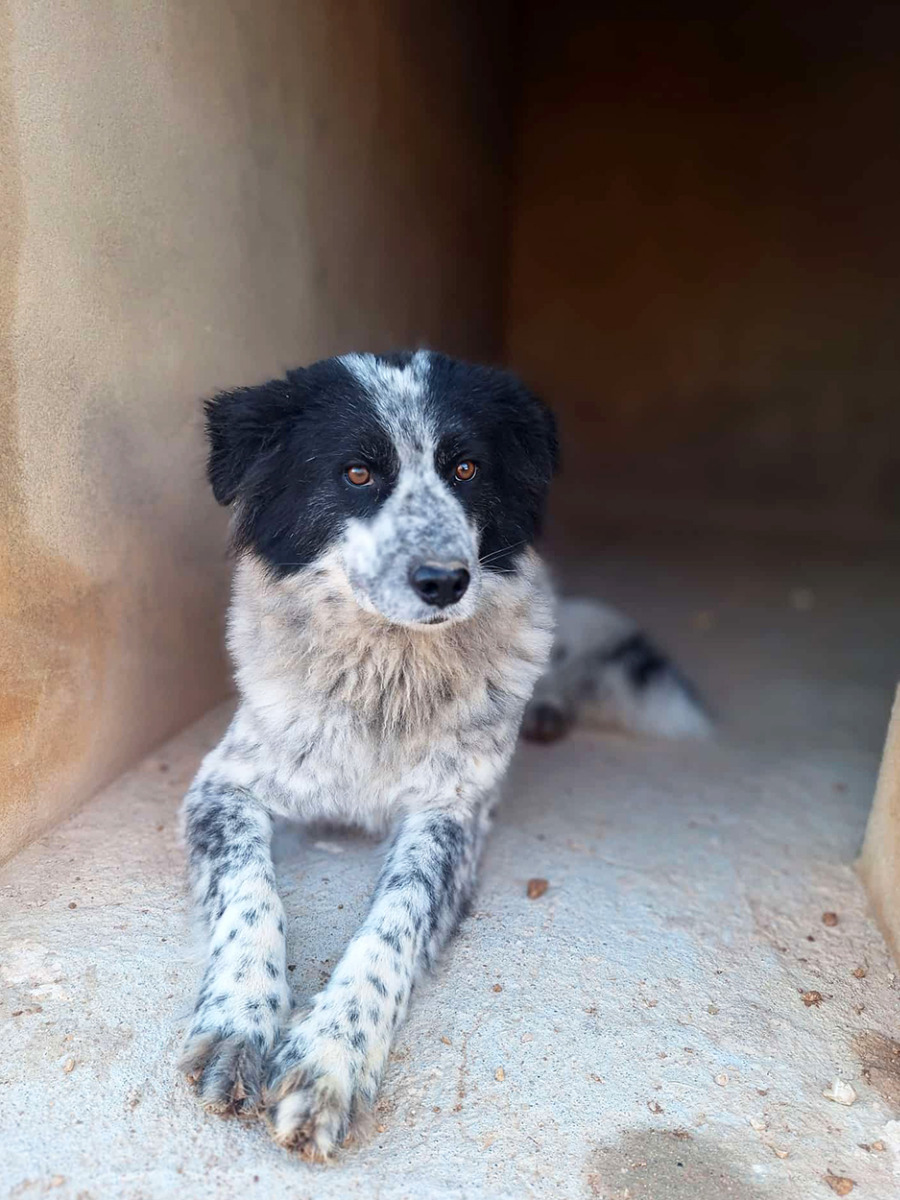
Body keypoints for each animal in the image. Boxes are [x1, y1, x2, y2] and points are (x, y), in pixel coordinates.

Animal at [178, 350, 708, 1159]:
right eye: (358, 473)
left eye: (464, 468)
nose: (444, 581)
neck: (387, 680)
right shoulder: (222, 786)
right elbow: (251, 895)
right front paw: (242, 1022)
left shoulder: (450, 816)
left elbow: (394, 923)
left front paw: (331, 1057)